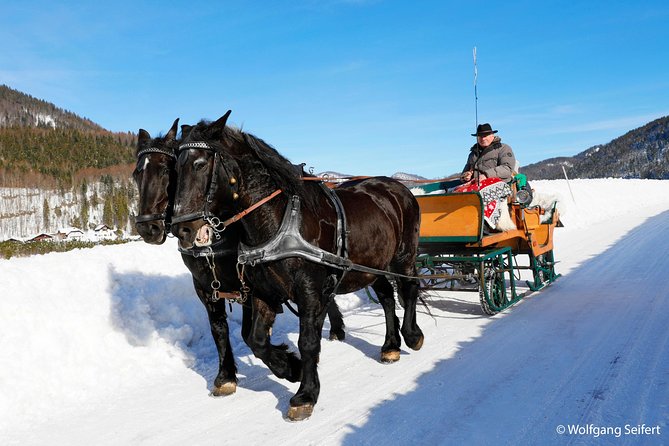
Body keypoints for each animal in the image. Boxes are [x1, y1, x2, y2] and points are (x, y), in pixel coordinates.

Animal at [132, 120, 346, 396]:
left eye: (167, 171)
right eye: (137, 174)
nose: (148, 228)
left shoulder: (248, 285)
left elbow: (248, 334)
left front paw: (290, 365)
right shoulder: (205, 286)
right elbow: (219, 329)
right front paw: (226, 376)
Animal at [170, 111, 424, 420]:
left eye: (200, 163)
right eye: (176, 167)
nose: (182, 228)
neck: (280, 222)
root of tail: (399, 187)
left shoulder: (310, 291)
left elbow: (308, 341)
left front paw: (305, 394)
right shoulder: (264, 291)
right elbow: (256, 339)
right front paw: (290, 368)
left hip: (402, 256)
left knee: (409, 288)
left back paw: (412, 335)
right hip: (371, 265)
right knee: (387, 296)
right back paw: (390, 346)